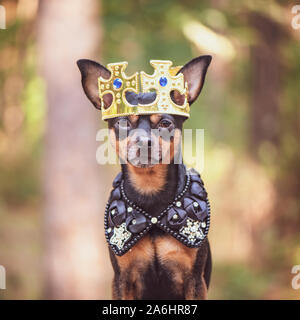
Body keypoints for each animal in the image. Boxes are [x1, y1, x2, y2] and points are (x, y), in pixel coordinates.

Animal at [77, 55, 213, 300]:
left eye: (165, 123)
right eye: (122, 123)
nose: (143, 142)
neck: (151, 198)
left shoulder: (194, 280)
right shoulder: (122, 278)